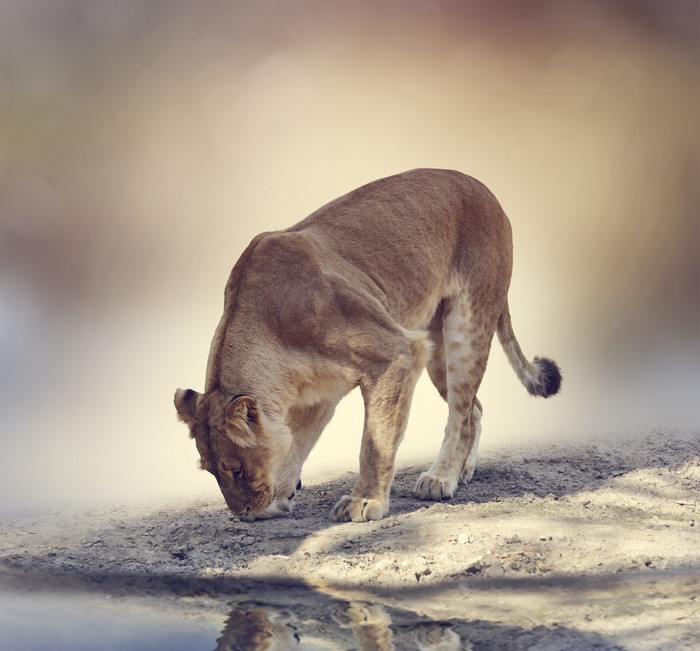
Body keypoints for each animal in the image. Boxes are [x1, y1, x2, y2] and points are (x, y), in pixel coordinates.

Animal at [174, 169, 561, 522]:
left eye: (237, 469)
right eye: (212, 471)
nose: (243, 515)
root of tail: (483, 187)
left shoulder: (396, 354)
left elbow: (375, 440)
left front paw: (364, 501)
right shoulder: (318, 393)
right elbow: (297, 440)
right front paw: (281, 494)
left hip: (466, 327)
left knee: (461, 415)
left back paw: (441, 478)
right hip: (437, 347)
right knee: (474, 409)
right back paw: (463, 471)